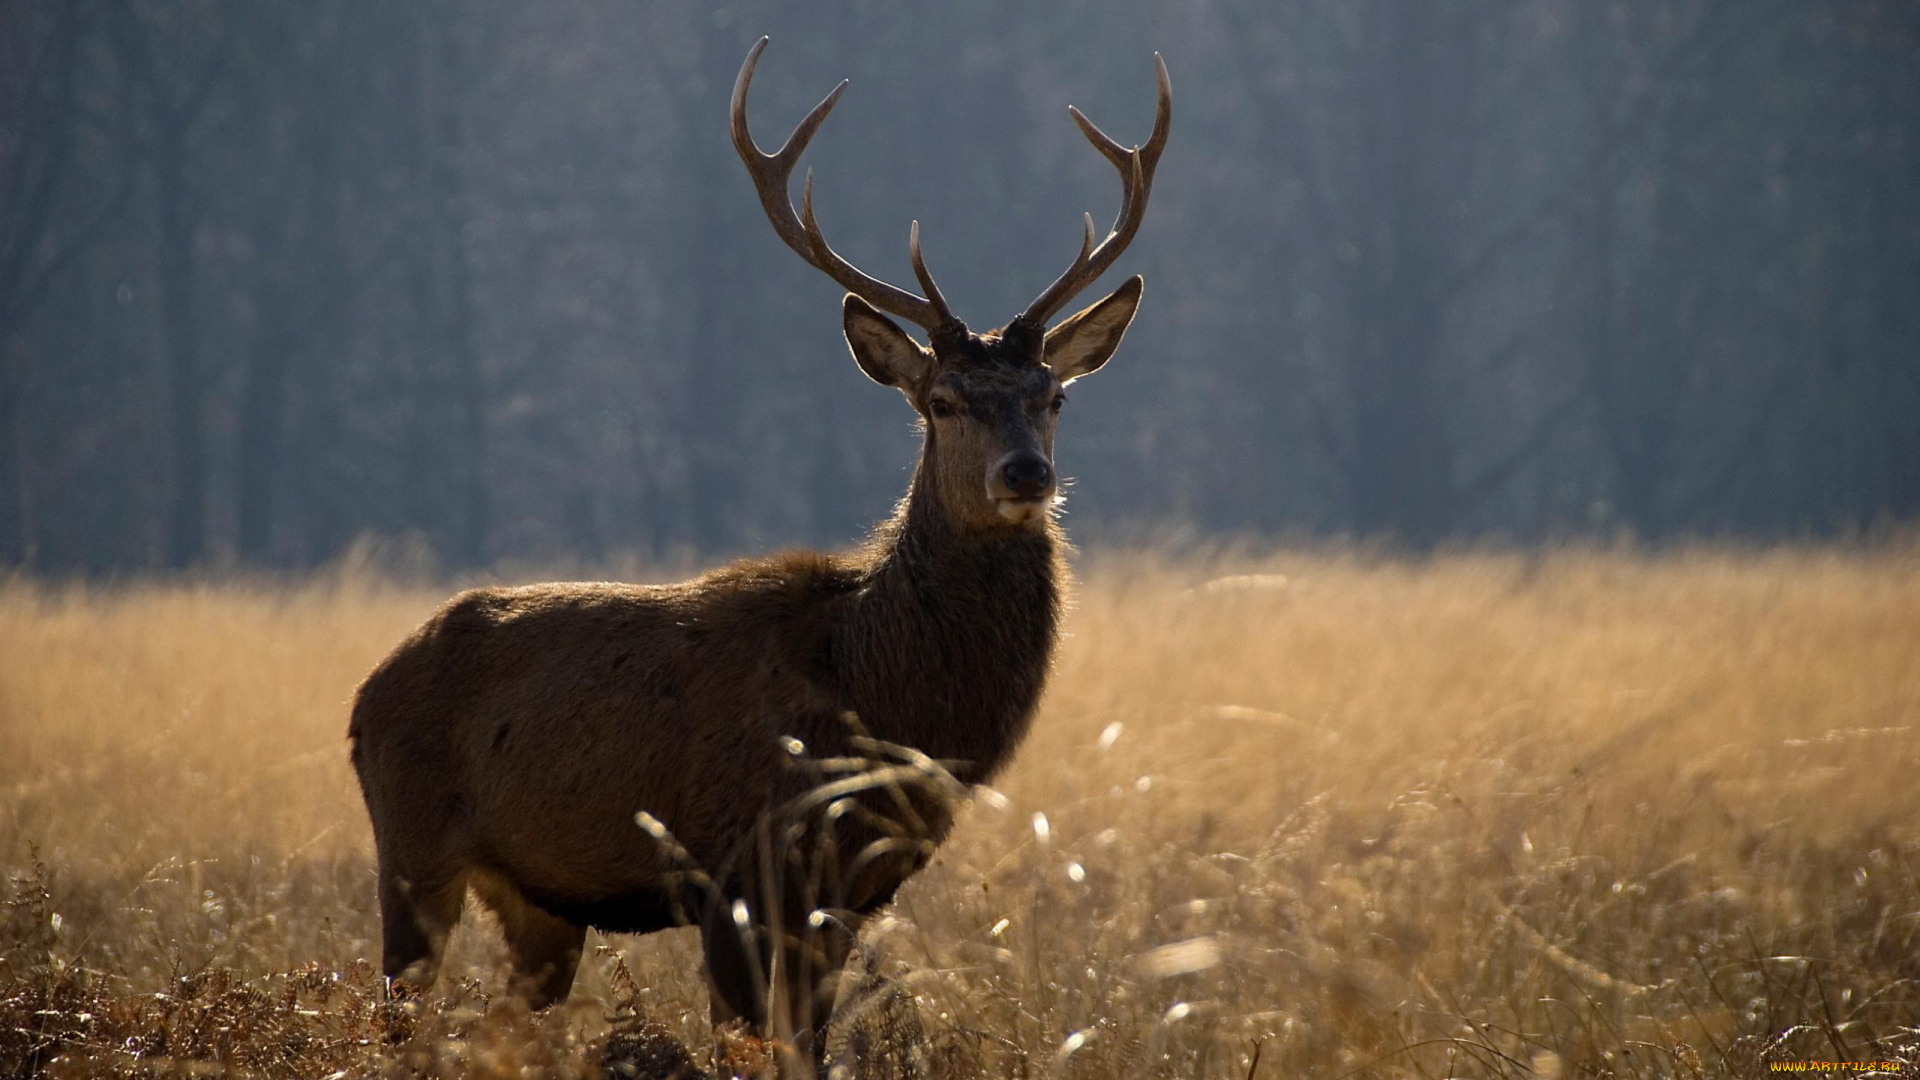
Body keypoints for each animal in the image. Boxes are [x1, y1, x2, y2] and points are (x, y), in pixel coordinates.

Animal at [351, 35, 1167, 1068]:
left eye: (1053, 395)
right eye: (942, 402)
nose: (1026, 473)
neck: (874, 694)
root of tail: (363, 696)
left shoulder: (846, 896)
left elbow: (810, 1048)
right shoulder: (732, 870)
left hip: (542, 903)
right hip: (410, 851)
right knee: (393, 1019)